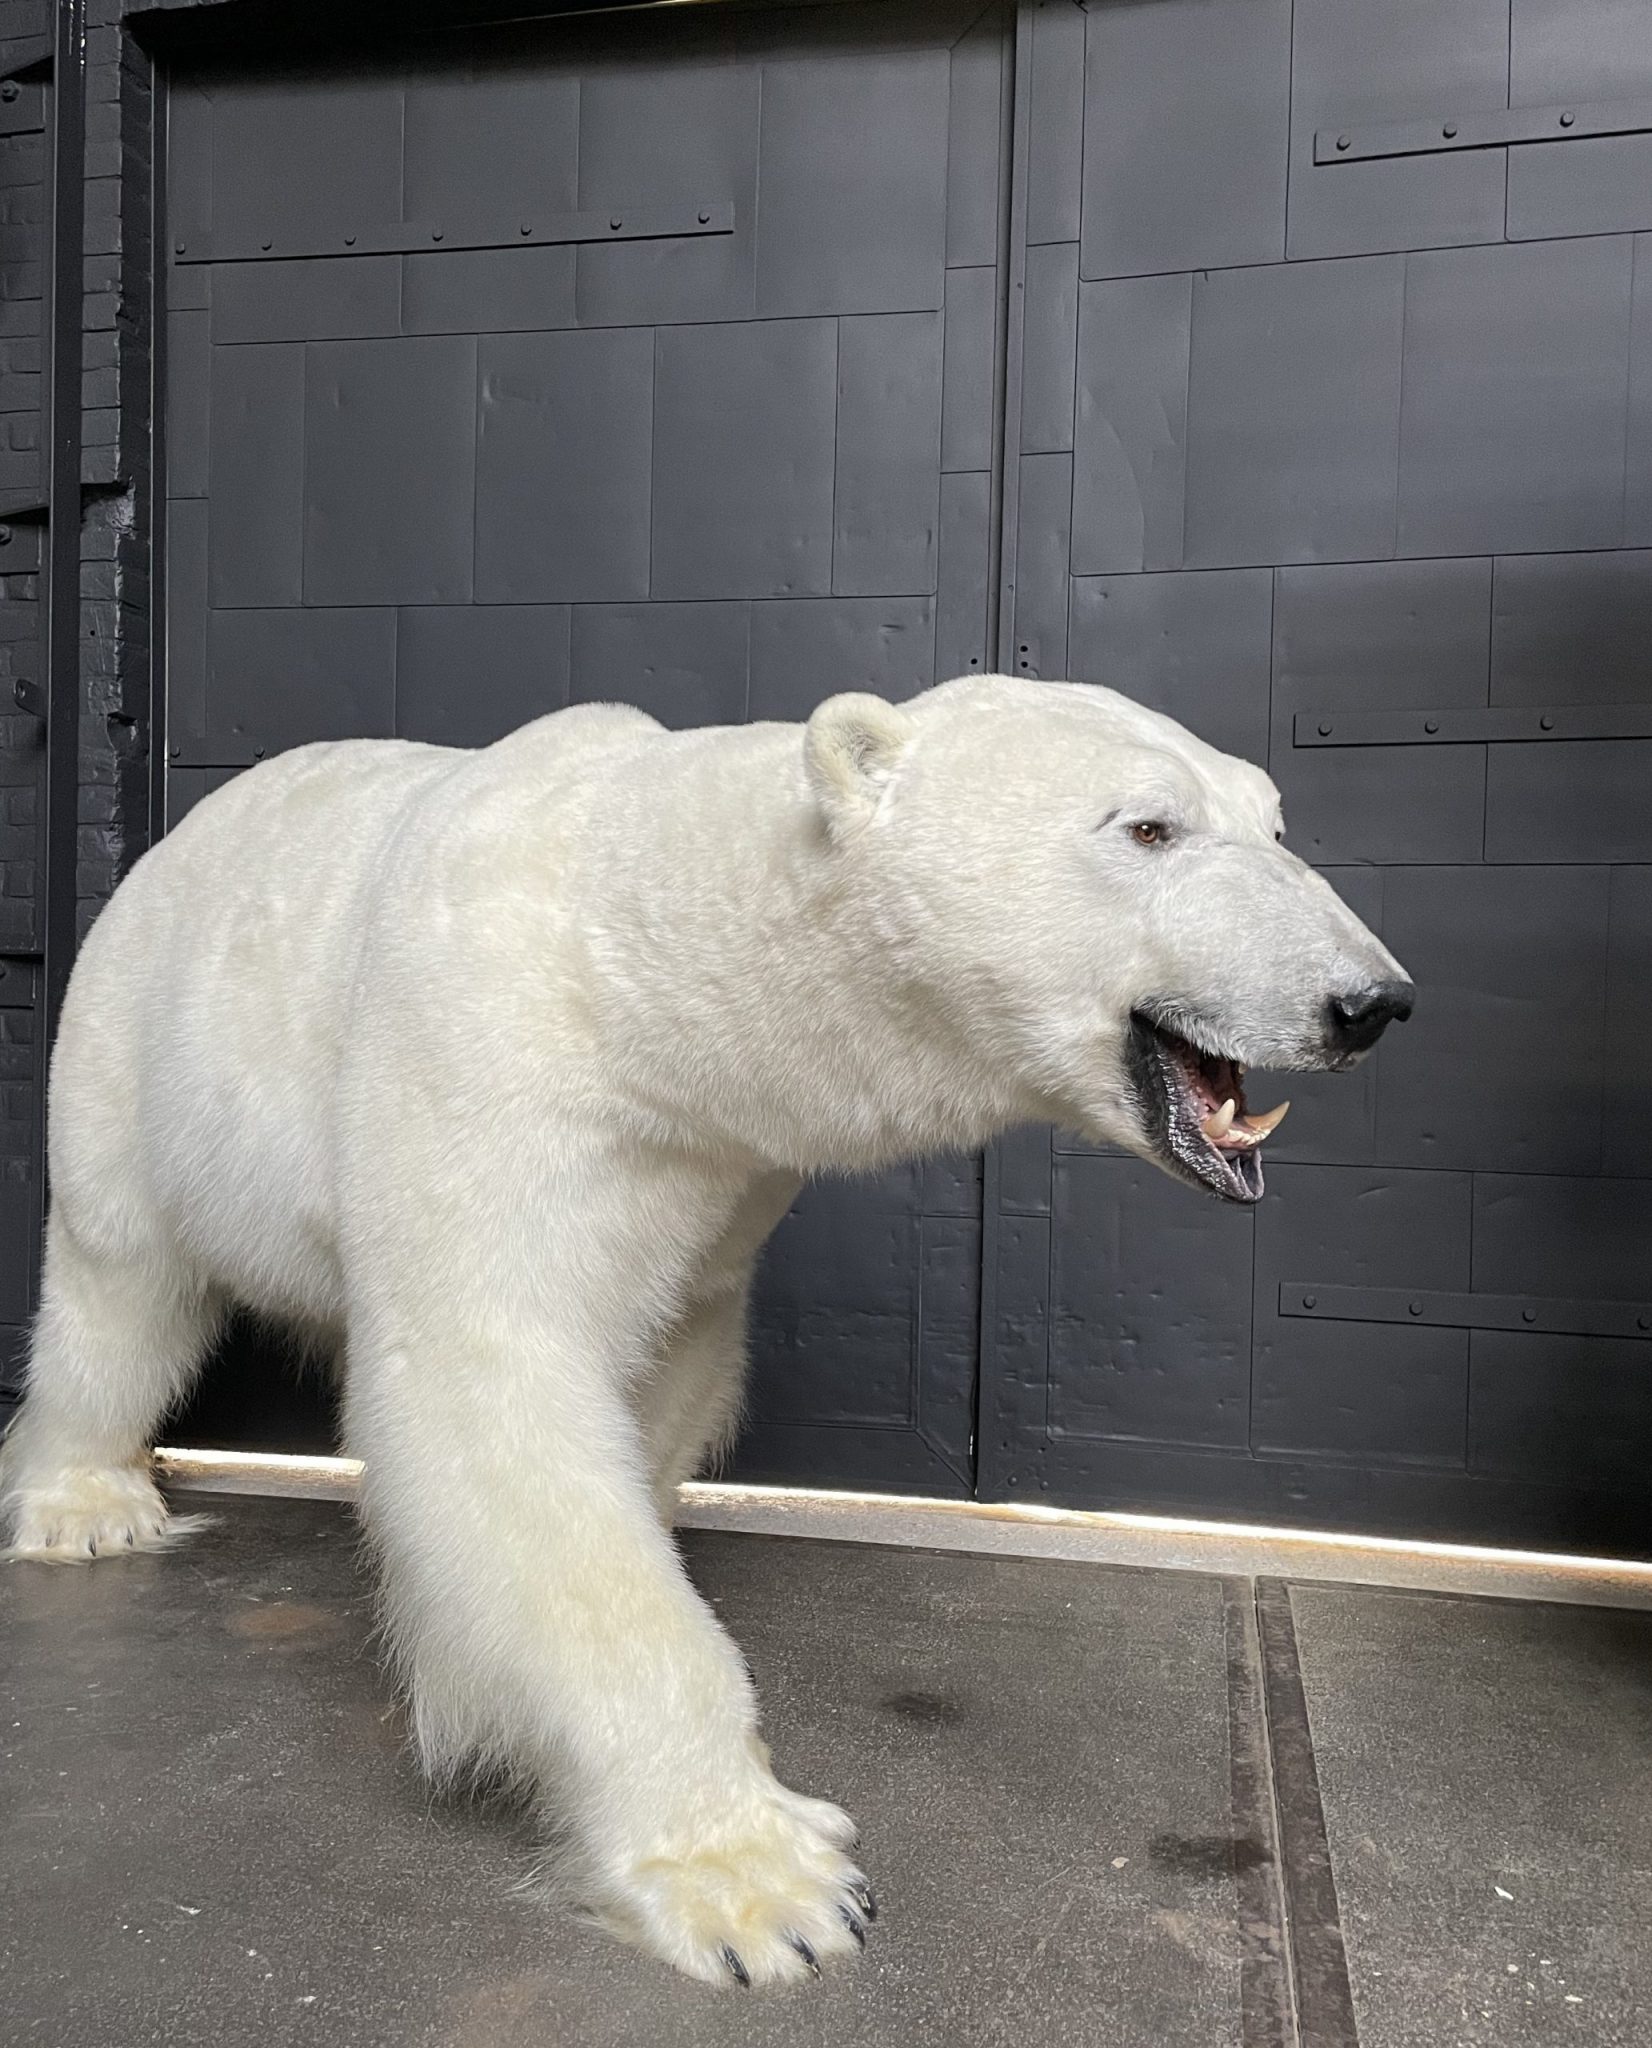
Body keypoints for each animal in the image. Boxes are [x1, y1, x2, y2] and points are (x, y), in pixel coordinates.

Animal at [6, 671, 1416, 1982]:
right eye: (1147, 827)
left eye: (1272, 817)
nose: (1370, 1001)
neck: (634, 965)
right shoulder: (481, 1058)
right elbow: (497, 1390)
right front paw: (764, 1884)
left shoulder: (714, 1172)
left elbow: (662, 1367)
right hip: (137, 1045)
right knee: (118, 1281)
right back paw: (87, 1502)